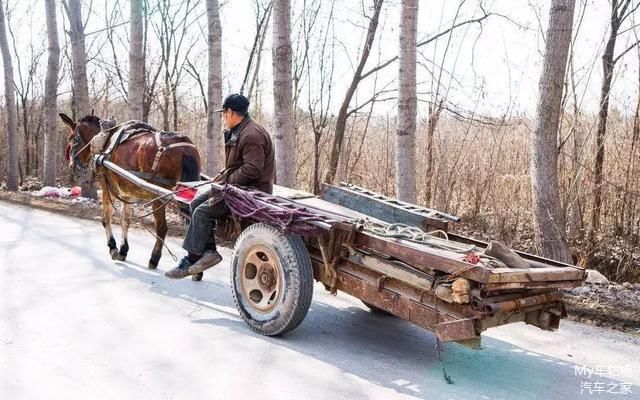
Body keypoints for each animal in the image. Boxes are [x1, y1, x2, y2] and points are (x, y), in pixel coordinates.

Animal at [59, 114, 201, 272]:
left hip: (159, 195)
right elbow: (125, 220)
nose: (72, 165)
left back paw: (154, 258)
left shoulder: (107, 188)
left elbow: (105, 219)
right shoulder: (126, 194)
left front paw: (113, 247)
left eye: (71, 139)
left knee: (162, 228)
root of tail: (185, 148)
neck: (104, 141)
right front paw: (123, 250)